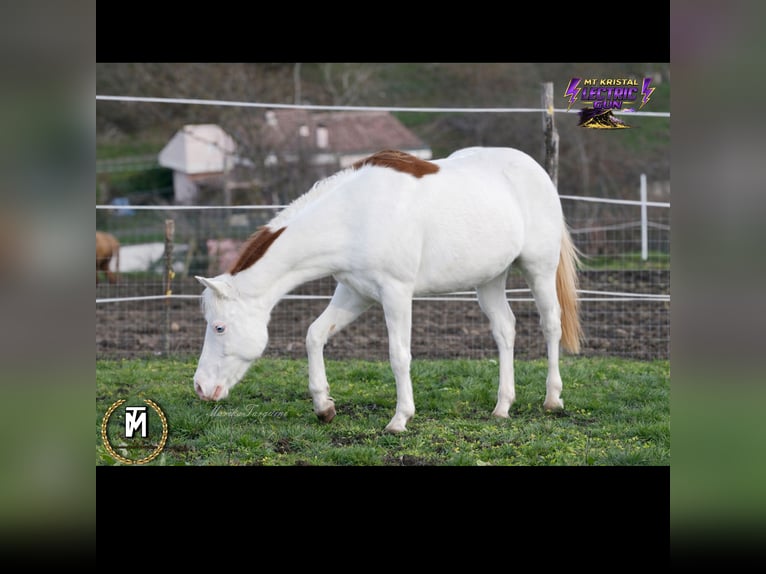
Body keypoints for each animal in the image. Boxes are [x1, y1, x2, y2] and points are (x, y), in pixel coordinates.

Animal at [194, 147, 583, 433]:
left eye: (219, 327)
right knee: (505, 330)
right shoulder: (354, 294)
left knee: (551, 325)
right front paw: (323, 406)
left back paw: (552, 399)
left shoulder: (396, 295)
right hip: (489, 279)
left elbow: (398, 356)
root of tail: (535, 169)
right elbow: (314, 335)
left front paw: (400, 419)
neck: (352, 215)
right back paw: (502, 406)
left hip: (539, 269)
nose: (199, 388)